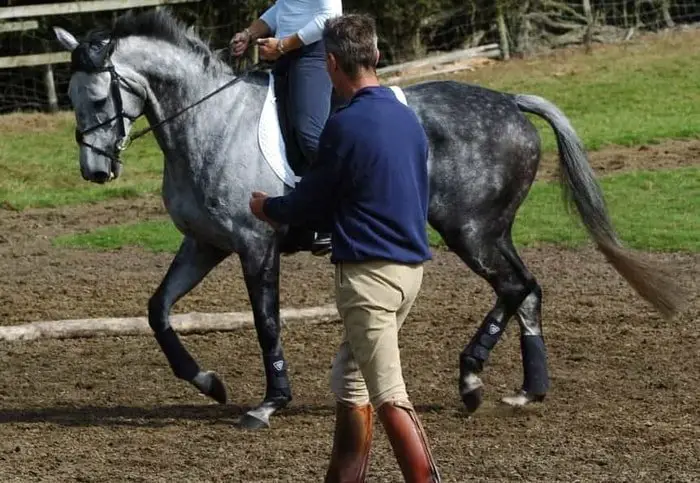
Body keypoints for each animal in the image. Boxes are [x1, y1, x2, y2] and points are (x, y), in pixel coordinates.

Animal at [53, 9, 684, 430]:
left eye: (101, 100)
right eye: (73, 99)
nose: (95, 172)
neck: (209, 123)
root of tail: (510, 102)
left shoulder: (256, 245)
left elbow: (266, 323)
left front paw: (270, 402)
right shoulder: (205, 244)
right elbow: (158, 311)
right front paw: (209, 383)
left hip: (469, 231)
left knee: (515, 287)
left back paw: (472, 379)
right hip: (491, 231)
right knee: (527, 291)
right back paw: (529, 390)